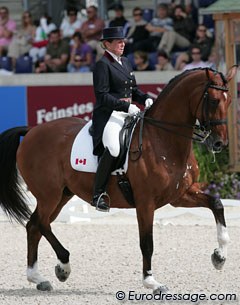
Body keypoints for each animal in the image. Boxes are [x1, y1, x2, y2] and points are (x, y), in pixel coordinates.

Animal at [0, 67, 237, 292]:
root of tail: (31, 131)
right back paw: (63, 266)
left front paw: (219, 257)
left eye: (229, 101)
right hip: (49, 194)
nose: (220, 143)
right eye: (213, 100)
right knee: (40, 223)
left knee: (35, 226)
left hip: (62, 195)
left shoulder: (179, 195)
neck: (162, 139)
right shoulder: (145, 202)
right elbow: (147, 243)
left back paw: (38, 278)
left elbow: (217, 204)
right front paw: (152, 283)